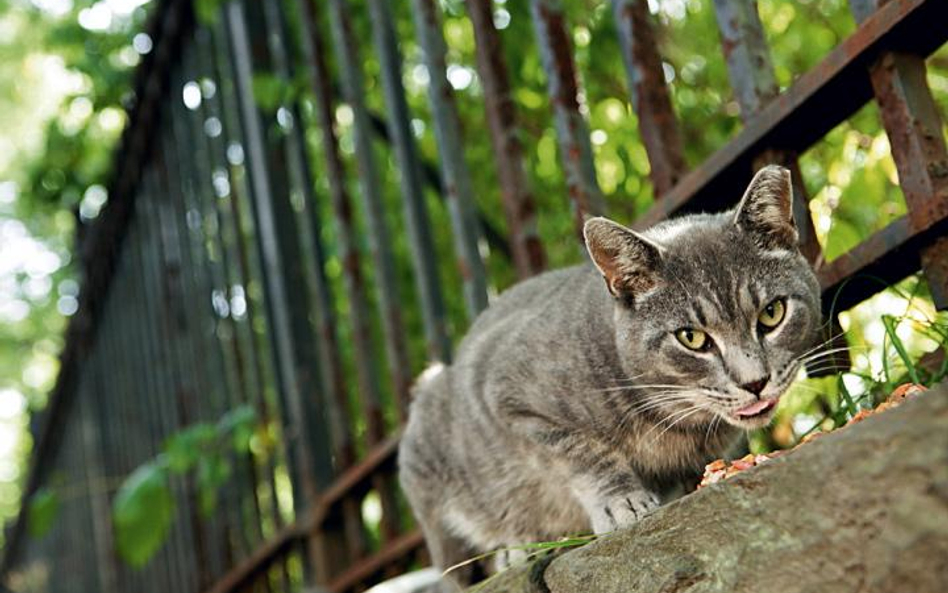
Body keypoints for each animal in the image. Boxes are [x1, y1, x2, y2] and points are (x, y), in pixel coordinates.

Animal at [396, 165, 820, 588]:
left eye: (771, 313)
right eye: (692, 338)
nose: (754, 382)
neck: (671, 418)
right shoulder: (511, 401)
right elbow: (585, 453)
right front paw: (623, 502)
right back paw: (514, 550)